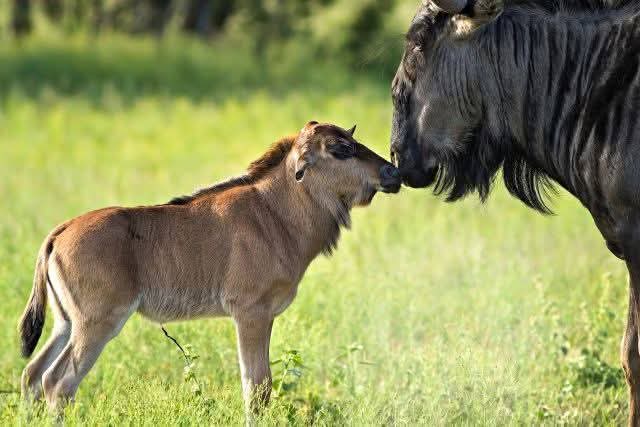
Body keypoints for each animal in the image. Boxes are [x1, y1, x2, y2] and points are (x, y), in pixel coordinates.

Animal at [18, 121, 402, 413]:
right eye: (339, 149)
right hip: (97, 324)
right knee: (58, 383)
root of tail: (58, 234)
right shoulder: (249, 313)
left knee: (33, 375)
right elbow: (257, 389)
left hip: (66, 323)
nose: (392, 171)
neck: (275, 213)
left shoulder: (265, 316)